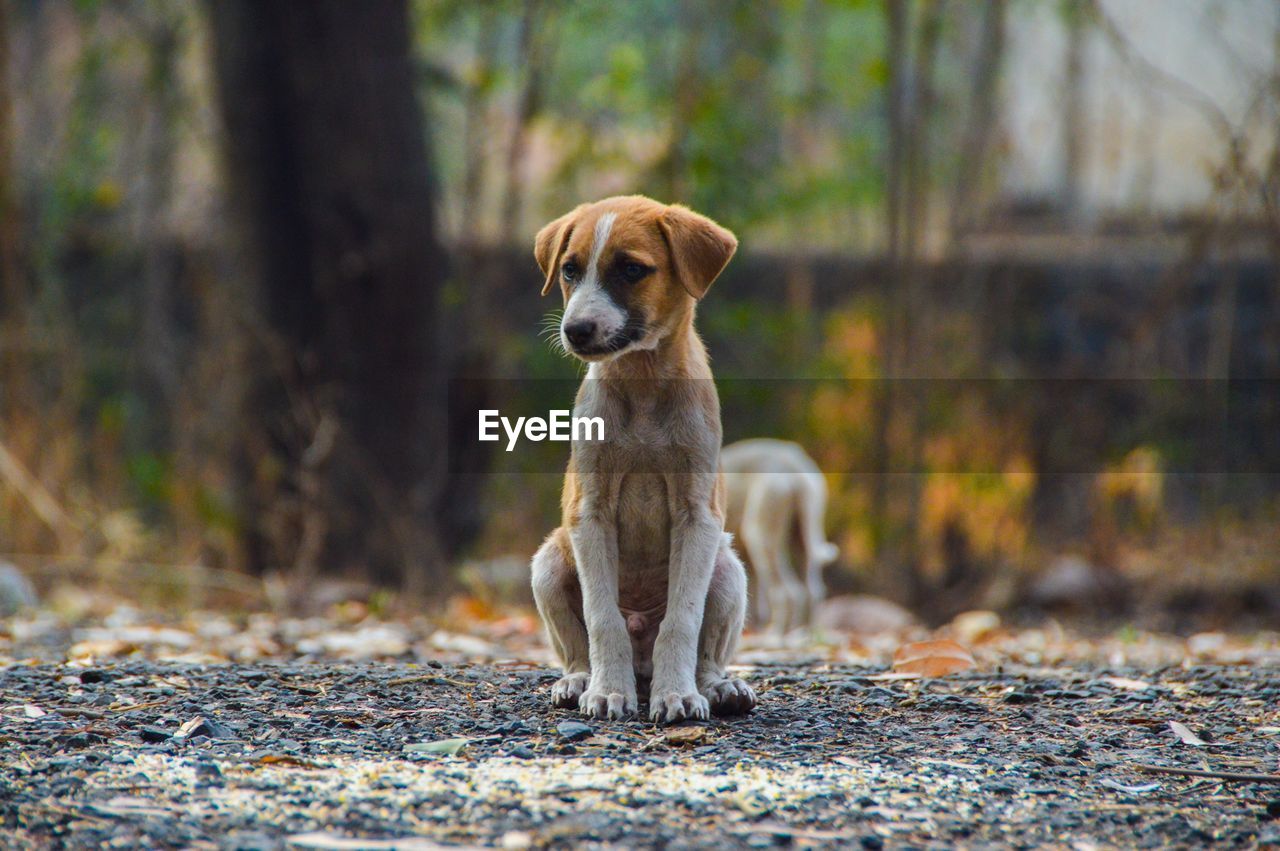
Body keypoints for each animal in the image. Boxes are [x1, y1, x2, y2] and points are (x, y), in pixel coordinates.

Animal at [527, 195, 752, 721]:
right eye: (569, 270)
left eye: (631, 269)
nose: (575, 331)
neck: (643, 383)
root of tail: (643, 666)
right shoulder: (591, 513)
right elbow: (602, 616)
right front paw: (609, 690)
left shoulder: (697, 515)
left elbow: (682, 620)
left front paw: (678, 695)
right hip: (548, 564)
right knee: (577, 647)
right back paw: (580, 680)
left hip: (728, 570)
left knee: (706, 652)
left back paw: (716, 685)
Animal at [721, 440, 839, 634]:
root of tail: (795, 465)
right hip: (804, 527)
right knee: (813, 589)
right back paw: (805, 632)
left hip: (761, 531)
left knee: (787, 592)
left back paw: (776, 633)